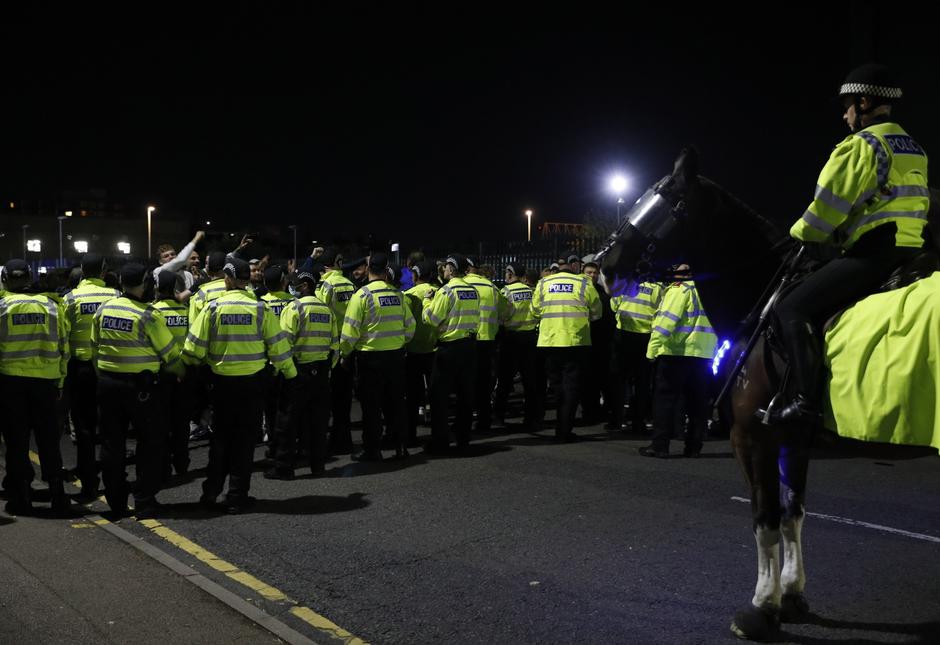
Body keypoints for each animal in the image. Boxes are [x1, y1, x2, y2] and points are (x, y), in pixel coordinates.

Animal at [600, 150, 936, 640]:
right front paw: (793, 595)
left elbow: (765, 519)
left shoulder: (752, 436)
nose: (604, 265)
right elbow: (793, 512)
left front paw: (762, 607)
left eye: (662, 203)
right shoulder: (793, 439)